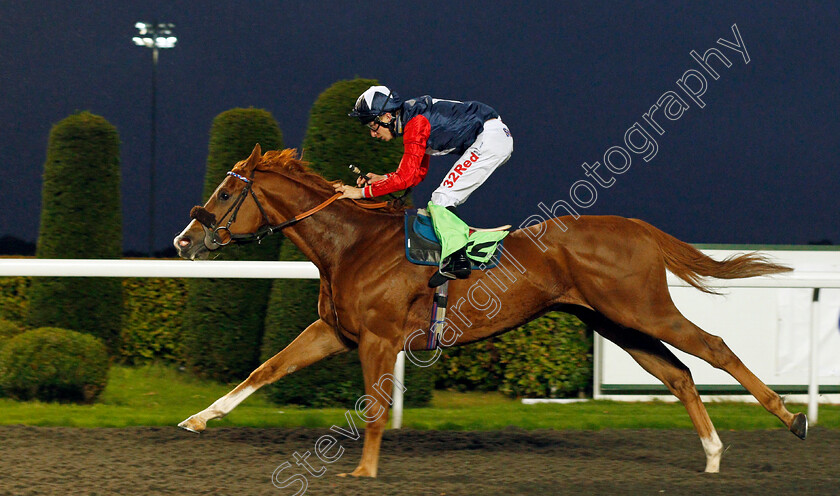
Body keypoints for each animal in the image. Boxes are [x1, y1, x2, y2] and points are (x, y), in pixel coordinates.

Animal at [172, 143, 808, 476]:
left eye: (226, 193)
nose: (184, 240)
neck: (351, 245)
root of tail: (638, 227)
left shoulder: (379, 338)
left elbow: (374, 407)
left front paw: (365, 470)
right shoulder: (336, 330)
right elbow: (267, 368)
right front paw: (199, 418)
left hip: (643, 308)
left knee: (714, 349)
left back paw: (791, 417)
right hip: (615, 321)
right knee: (677, 374)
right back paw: (713, 452)